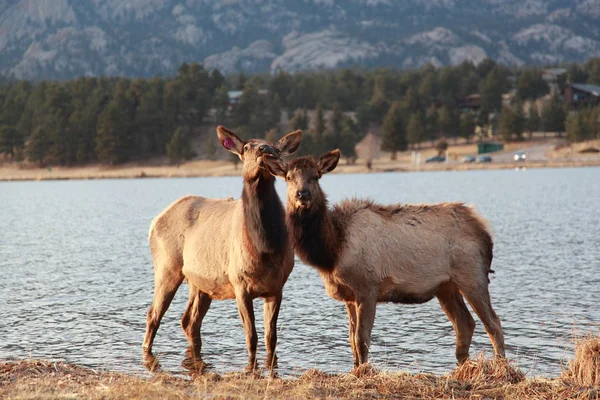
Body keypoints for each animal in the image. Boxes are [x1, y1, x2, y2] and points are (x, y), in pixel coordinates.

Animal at [142, 126, 302, 372]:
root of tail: (155, 221)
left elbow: (271, 339)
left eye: (276, 148)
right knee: (154, 314)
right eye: (247, 147)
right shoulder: (240, 284)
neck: (265, 246)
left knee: (189, 320)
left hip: (201, 283)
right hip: (167, 267)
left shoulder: (277, 287)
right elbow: (251, 336)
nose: (265, 150)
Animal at [264, 149, 504, 366]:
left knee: (493, 323)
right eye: (288, 177)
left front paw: (364, 370)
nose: (302, 194)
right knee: (465, 324)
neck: (332, 252)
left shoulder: (367, 287)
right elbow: (351, 340)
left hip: (472, 275)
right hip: (445, 287)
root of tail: (484, 232)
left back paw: (501, 366)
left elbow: (361, 340)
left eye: (316, 176)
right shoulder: (349, 296)